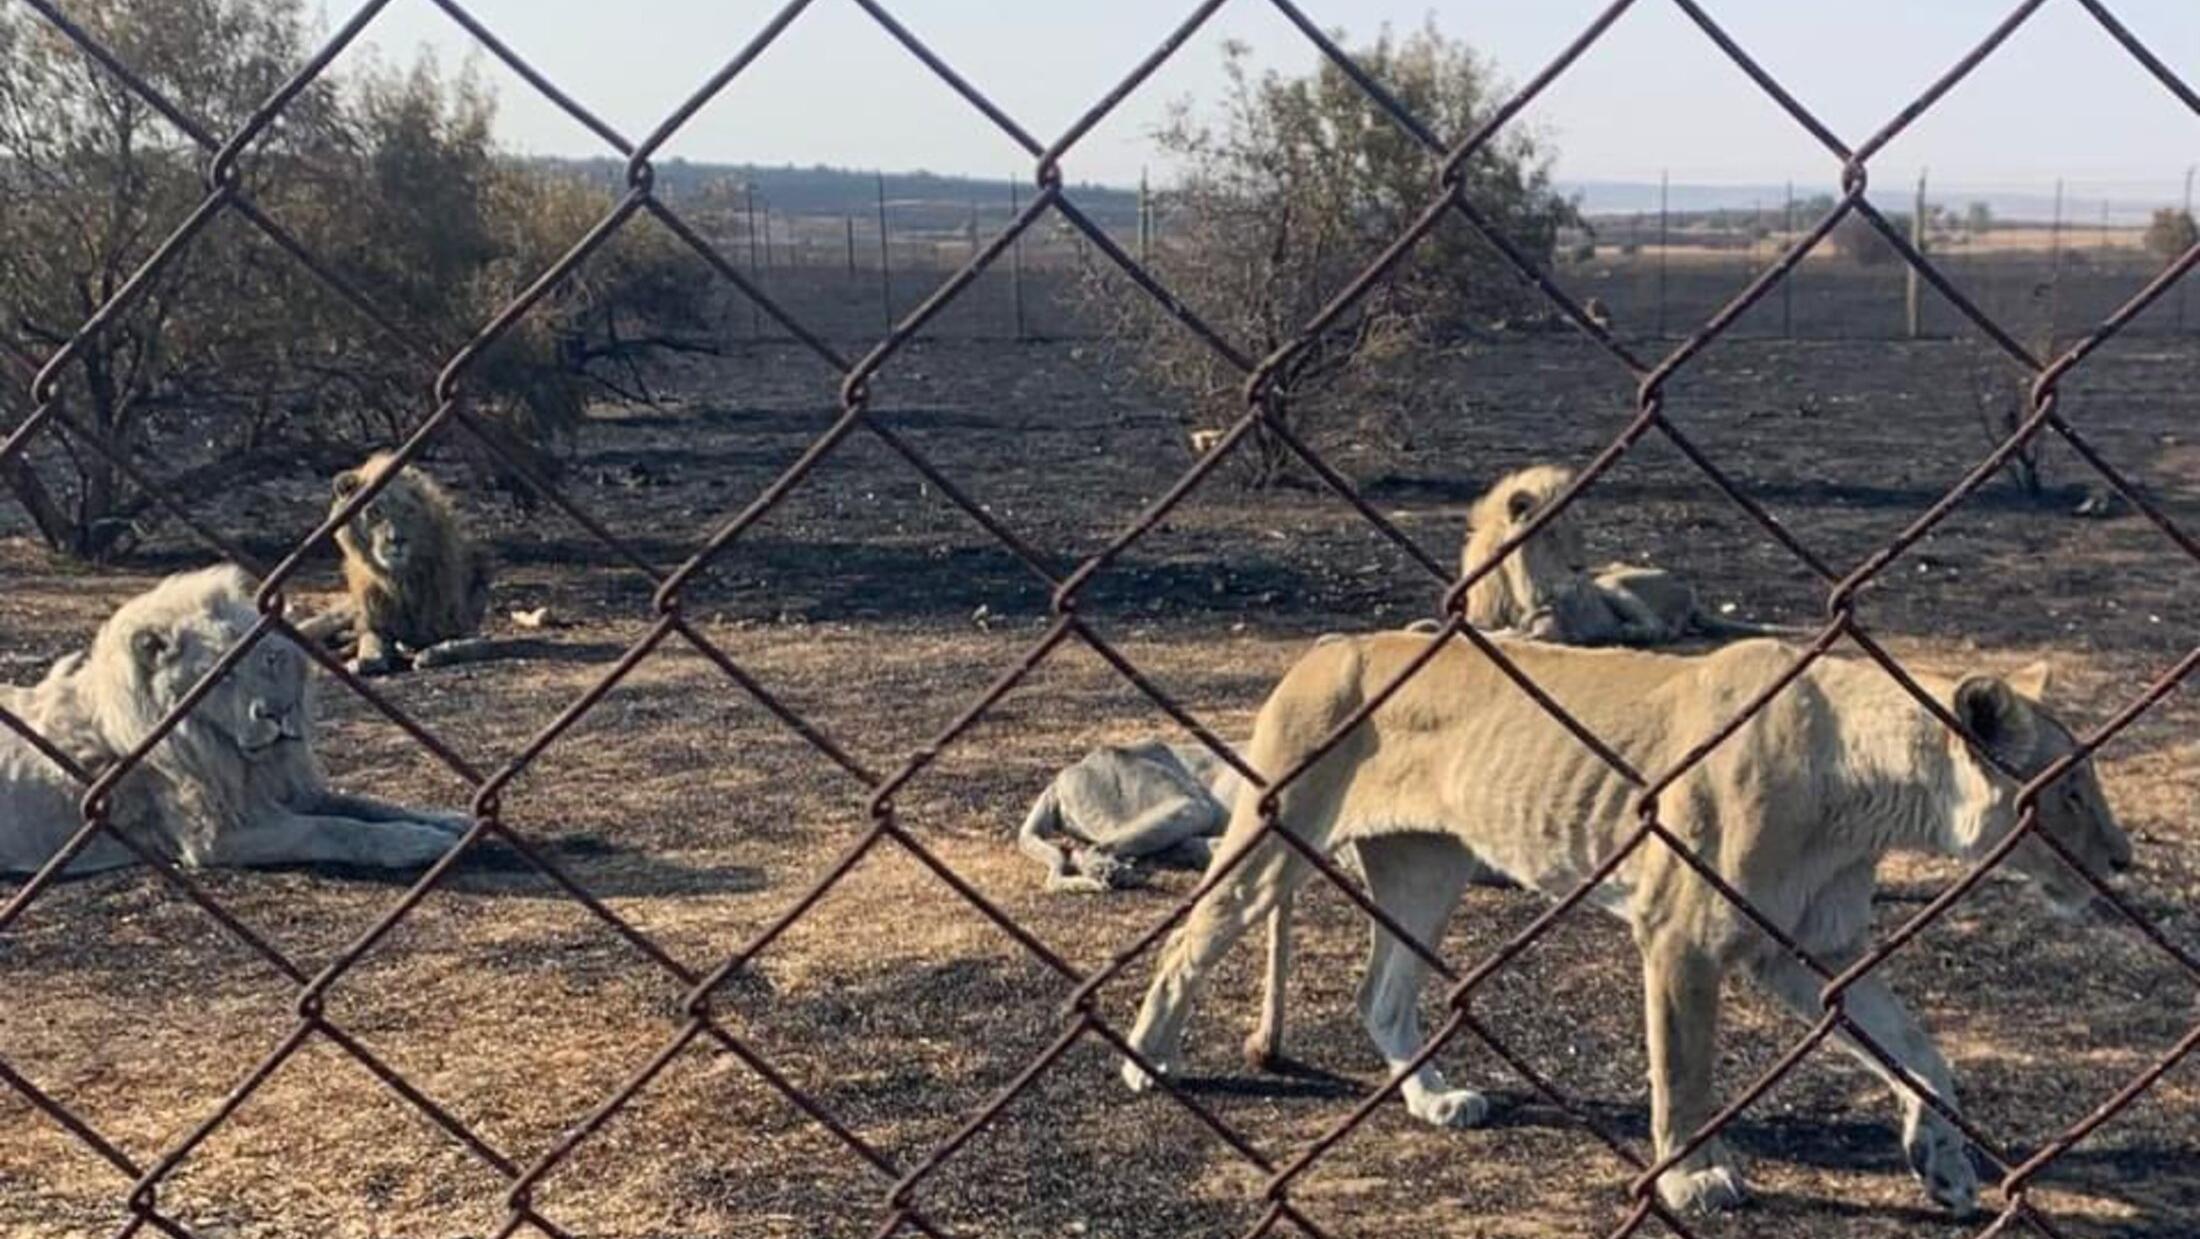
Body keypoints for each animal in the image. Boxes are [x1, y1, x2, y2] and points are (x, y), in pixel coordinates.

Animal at [2, 567, 468, 875]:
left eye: (271, 658)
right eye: (222, 675)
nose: (278, 713)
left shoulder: (285, 789)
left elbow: (365, 804)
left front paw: (449, 820)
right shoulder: (214, 837)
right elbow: (333, 829)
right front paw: (418, 844)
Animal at [1126, 633, 2120, 1214]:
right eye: (2069, 790)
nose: (2122, 862)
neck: (1876, 796)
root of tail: (1328, 644)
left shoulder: (1810, 950)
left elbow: (1919, 1049)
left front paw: (1943, 1163)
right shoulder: (1684, 935)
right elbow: (1683, 1072)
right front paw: (1692, 1177)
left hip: (1427, 865)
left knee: (1382, 994)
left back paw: (1436, 1100)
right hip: (1276, 833)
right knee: (1188, 939)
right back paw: (1147, 1059)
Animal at [1469, 462, 1795, 647]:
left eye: (1578, 533)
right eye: (1549, 533)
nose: (1579, 568)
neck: (1513, 590)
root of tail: (1690, 594)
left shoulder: (1552, 628)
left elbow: (1514, 633)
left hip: (1614, 583)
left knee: (1658, 628)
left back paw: (1626, 633)